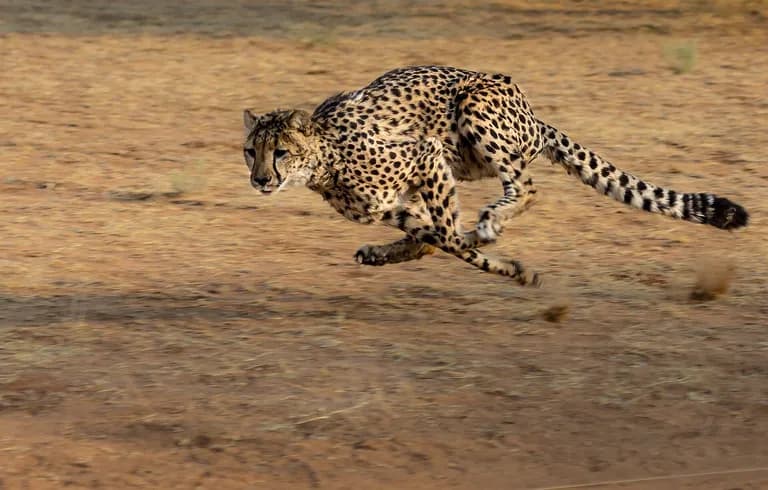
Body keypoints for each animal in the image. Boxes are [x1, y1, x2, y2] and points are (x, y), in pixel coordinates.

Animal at [242, 65, 748, 287]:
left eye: (280, 152)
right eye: (251, 152)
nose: (260, 180)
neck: (324, 159)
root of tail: (533, 114)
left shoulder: (425, 154)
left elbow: (449, 236)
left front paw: (504, 261)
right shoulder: (392, 205)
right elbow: (436, 238)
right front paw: (507, 266)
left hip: (474, 110)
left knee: (525, 186)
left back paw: (490, 222)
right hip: (463, 160)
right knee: (436, 234)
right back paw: (390, 251)